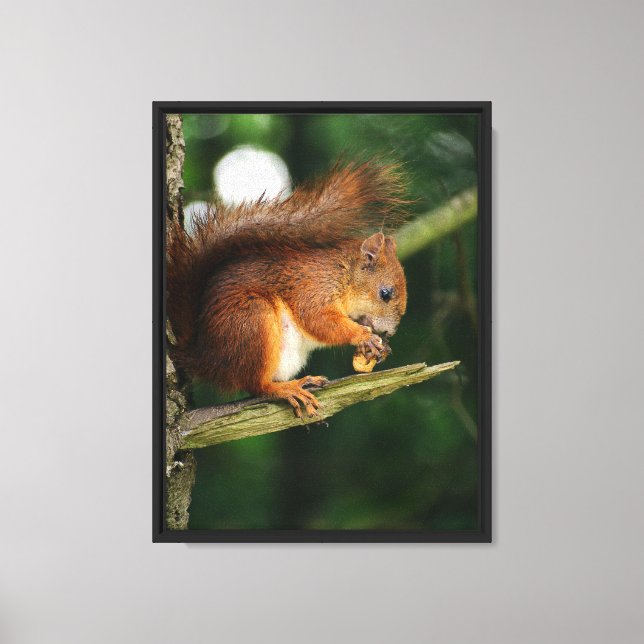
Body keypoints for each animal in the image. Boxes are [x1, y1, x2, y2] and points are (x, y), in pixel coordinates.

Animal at [167, 160, 408, 417]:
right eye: (385, 293)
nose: (389, 332)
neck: (343, 273)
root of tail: (206, 359)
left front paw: (383, 348)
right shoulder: (312, 287)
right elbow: (318, 319)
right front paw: (364, 336)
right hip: (252, 320)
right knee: (257, 385)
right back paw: (286, 388)